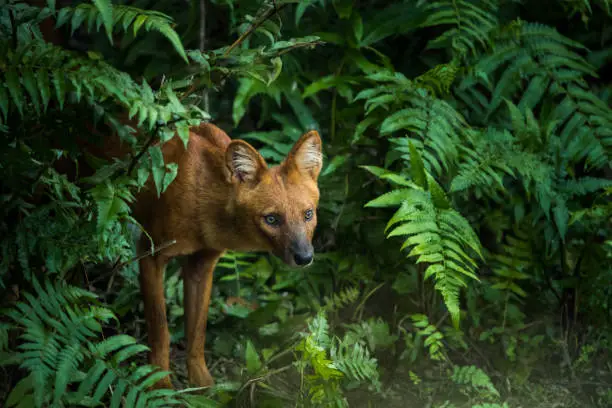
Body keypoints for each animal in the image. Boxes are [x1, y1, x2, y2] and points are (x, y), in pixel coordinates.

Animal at [131, 122, 322, 388]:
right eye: (271, 219)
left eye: (308, 214)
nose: (304, 257)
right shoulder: (149, 253)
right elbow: (160, 328)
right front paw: (160, 386)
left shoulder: (202, 264)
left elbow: (197, 331)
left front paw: (204, 386)